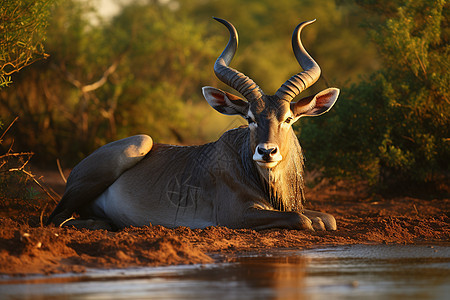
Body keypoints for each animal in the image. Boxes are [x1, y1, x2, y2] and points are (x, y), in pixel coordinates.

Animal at [47, 17, 340, 231]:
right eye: (250, 118)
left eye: (288, 118)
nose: (266, 152)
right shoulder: (236, 216)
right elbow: (303, 220)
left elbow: (327, 218)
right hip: (141, 142)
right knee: (55, 218)